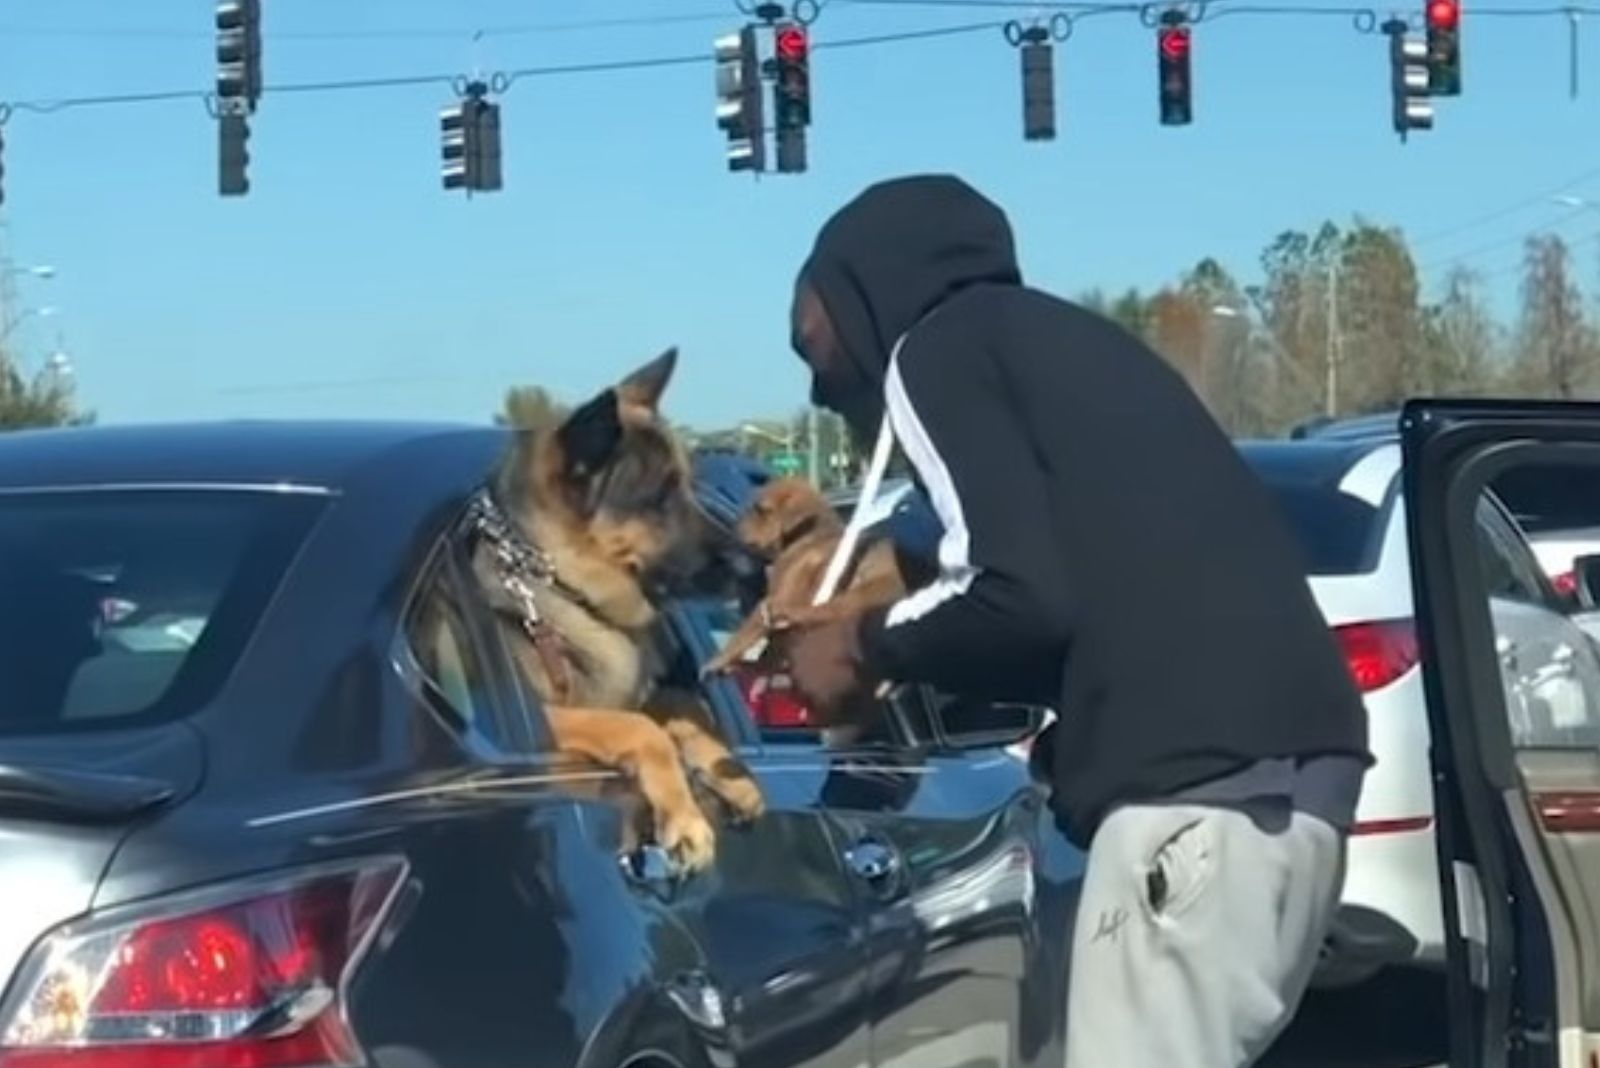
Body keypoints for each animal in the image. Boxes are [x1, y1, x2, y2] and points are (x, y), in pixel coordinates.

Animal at [467, 354, 761, 869]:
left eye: (689, 488)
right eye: (659, 499)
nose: (753, 564)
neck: (559, 587)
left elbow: (679, 702)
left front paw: (734, 776)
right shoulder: (554, 721)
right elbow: (639, 726)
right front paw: (685, 819)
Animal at [707, 476, 908, 674]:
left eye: (761, 509)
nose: (734, 527)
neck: (806, 535)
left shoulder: (781, 595)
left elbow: (744, 632)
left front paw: (718, 660)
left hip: (867, 589)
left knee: (825, 612)